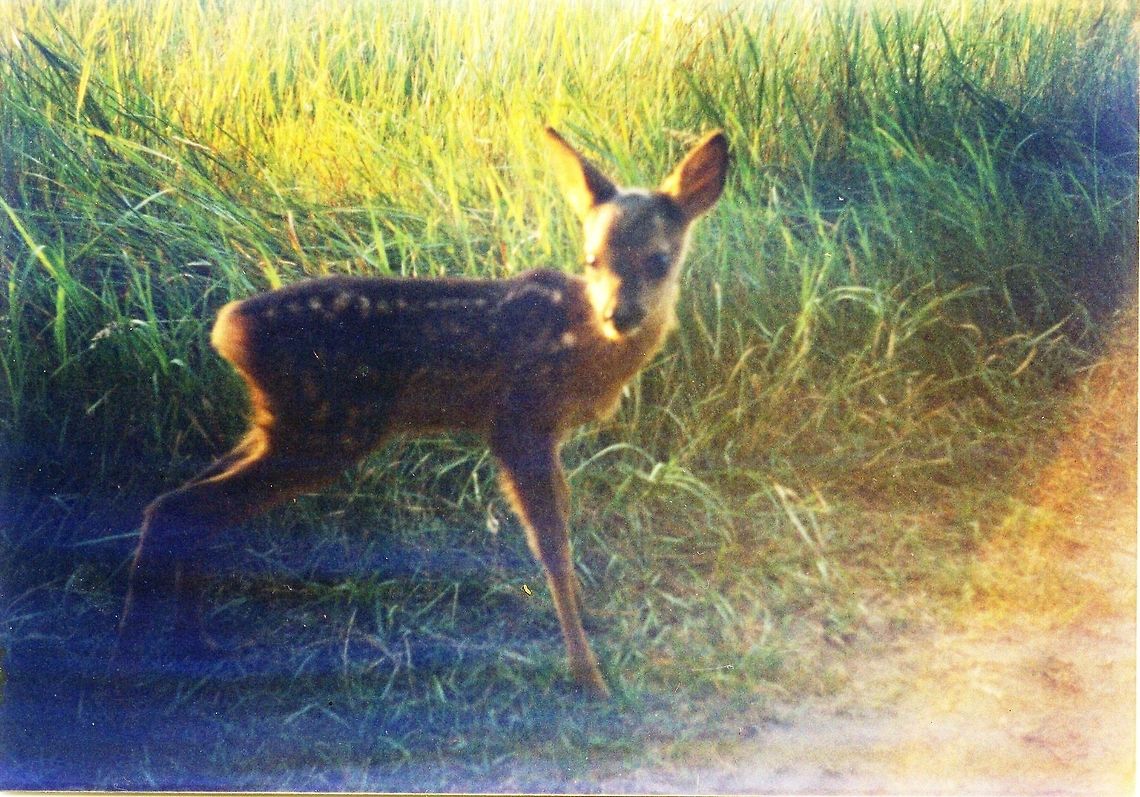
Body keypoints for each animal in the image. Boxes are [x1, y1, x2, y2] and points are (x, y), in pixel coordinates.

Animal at [114, 127, 729, 699]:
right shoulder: (519, 420)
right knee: (182, 507)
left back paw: (193, 646)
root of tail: (228, 330)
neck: (582, 344)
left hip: (282, 425)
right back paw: (136, 658)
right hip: (323, 431)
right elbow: (552, 546)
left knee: (178, 503)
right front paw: (589, 676)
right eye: (592, 258)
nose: (619, 315)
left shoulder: (539, 433)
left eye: (659, 260)